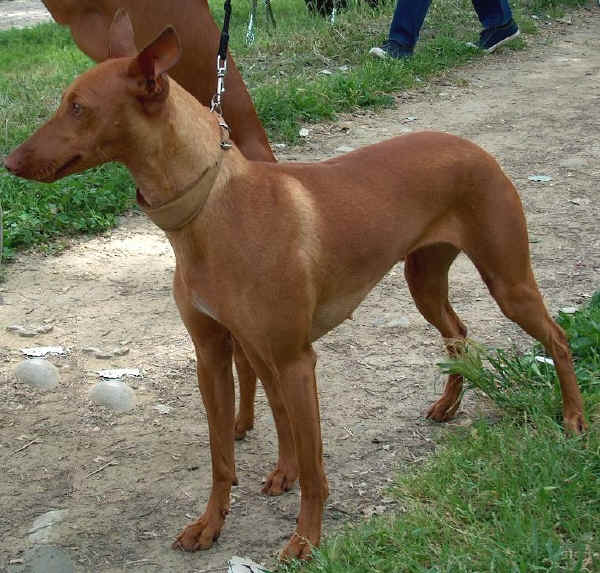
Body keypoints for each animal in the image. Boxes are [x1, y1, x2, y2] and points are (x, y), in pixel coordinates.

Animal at [4, 15, 584, 560]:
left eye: (78, 107)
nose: (10, 161)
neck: (212, 207)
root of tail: (472, 146)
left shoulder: (294, 360)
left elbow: (312, 468)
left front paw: (305, 539)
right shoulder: (214, 355)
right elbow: (221, 456)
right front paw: (210, 525)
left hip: (508, 281)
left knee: (556, 337)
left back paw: (574, 419)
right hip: (423, 281)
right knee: (459, 333)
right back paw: (449, 406)